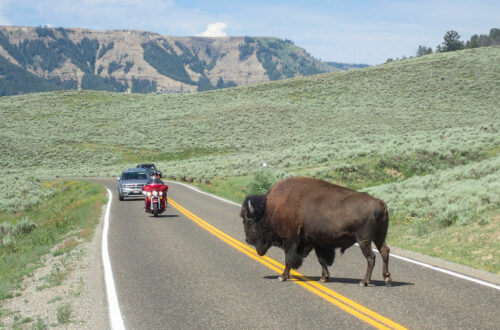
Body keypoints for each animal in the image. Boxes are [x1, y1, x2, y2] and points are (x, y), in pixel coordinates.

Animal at [240, 178, 392, 286]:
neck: (270, 209)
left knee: (371, 257)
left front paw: (282, 277)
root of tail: (380, 203)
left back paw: (364, 282)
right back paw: (387, 279)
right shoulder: (317, 242)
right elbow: (322, 260)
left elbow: (288, 259)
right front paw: (324, 278)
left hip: (363, 240)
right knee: (384, 251)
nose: (247, 240)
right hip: (379, 237)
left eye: (248, 221)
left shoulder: (290, 241)